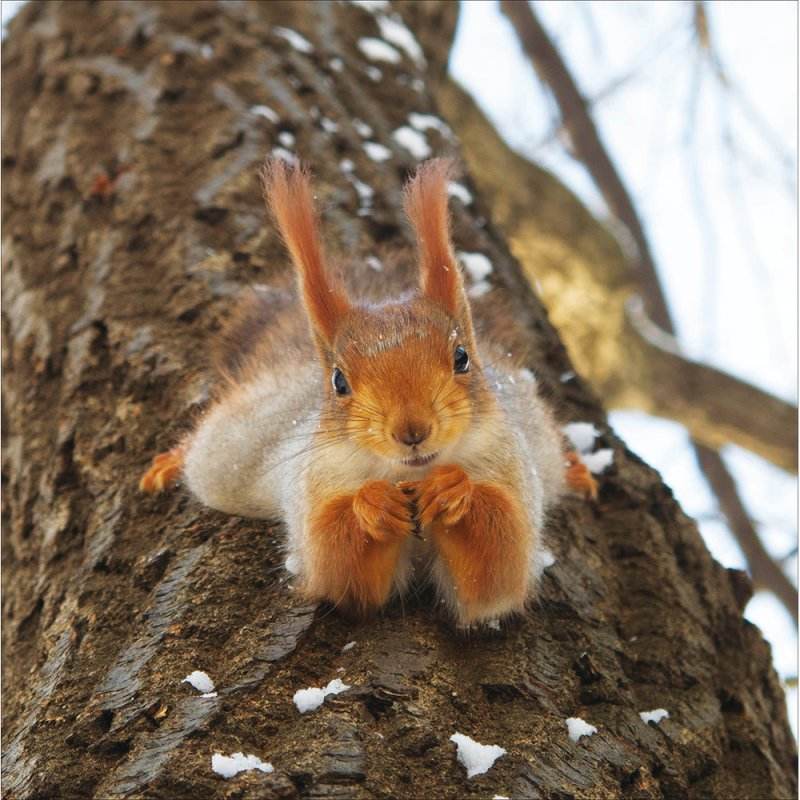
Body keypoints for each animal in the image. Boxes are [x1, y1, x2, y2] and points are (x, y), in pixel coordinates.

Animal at [140, 157, 597, 626]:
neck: (409, 474)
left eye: (462, 357)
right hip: (237, 444)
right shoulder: (314, 485)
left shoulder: (510, 468)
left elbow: (497, 570)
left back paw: (576, 469)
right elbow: (337, 567)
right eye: (339, 381)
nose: (412, 431)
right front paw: (374, 504)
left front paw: (454, 489)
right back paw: (168, 463)